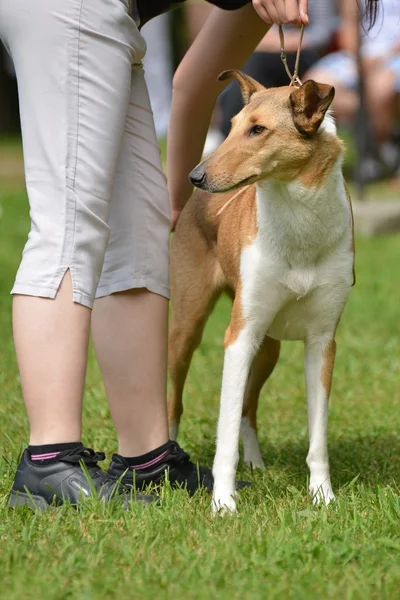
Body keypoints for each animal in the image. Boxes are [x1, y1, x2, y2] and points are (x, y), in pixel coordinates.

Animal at [167, 69, 354, 510]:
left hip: (268, 347)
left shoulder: (322, 342)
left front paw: (323, 497)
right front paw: (223, 503)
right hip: (188, 329)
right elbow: (224, 434)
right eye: (233, 125)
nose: (196, 176)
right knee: (174, 402)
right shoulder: (238, 337)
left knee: (249, 408)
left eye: (258, 129)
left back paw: (256, 463)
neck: (299, 225)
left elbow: (317, 437)